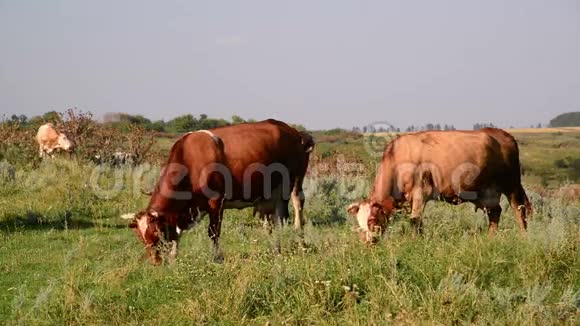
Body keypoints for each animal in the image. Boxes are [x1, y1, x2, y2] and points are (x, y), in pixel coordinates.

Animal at [122, 121, 312, 264]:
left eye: (157, 233)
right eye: (140, 237)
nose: (155, 262)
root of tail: (292, 130)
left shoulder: (216, 201)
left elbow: (213, 232)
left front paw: (216, 258)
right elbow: (177, 233)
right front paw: (174, 257)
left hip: (294, 180)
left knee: (295, 207)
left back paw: (299, 240)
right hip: (269, 192)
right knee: (273, 220)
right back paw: (276, 248)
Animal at [346, 129, 532, 243]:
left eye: (372, 221)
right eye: (359, 223)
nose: (368, 243)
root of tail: (502, 134)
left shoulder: (421, 192)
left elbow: (415, 220)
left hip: (512, 185)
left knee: (519, 210)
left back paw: (524, 238)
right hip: (487, 191)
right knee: (495, 212)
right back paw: (490, 238)